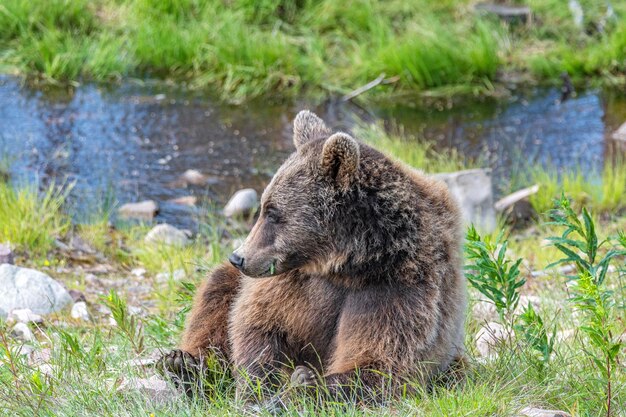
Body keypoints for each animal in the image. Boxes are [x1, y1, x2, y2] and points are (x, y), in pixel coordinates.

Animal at [160, 109, 464, 404]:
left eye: (272, 212)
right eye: (264, 207)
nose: (239, 257)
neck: (348, 264)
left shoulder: (397, 288)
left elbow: (379, 361)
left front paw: (303, 385)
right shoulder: (293, 282)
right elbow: (256, 322)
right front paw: (256, 388)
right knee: (216, 293)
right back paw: (184, 363)